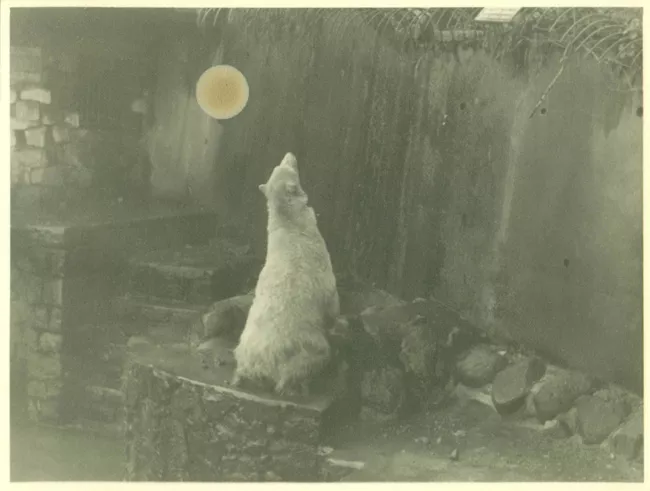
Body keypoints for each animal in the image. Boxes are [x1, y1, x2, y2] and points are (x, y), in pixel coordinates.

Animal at [231, 152, 340, 397]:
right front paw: (338, 320)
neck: (290, 225)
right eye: (289, 168)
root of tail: (262, 367)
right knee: (315, 356)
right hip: (304, 346)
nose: (290, 154)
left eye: (277, 165)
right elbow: (331, 296)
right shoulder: (318, 260)